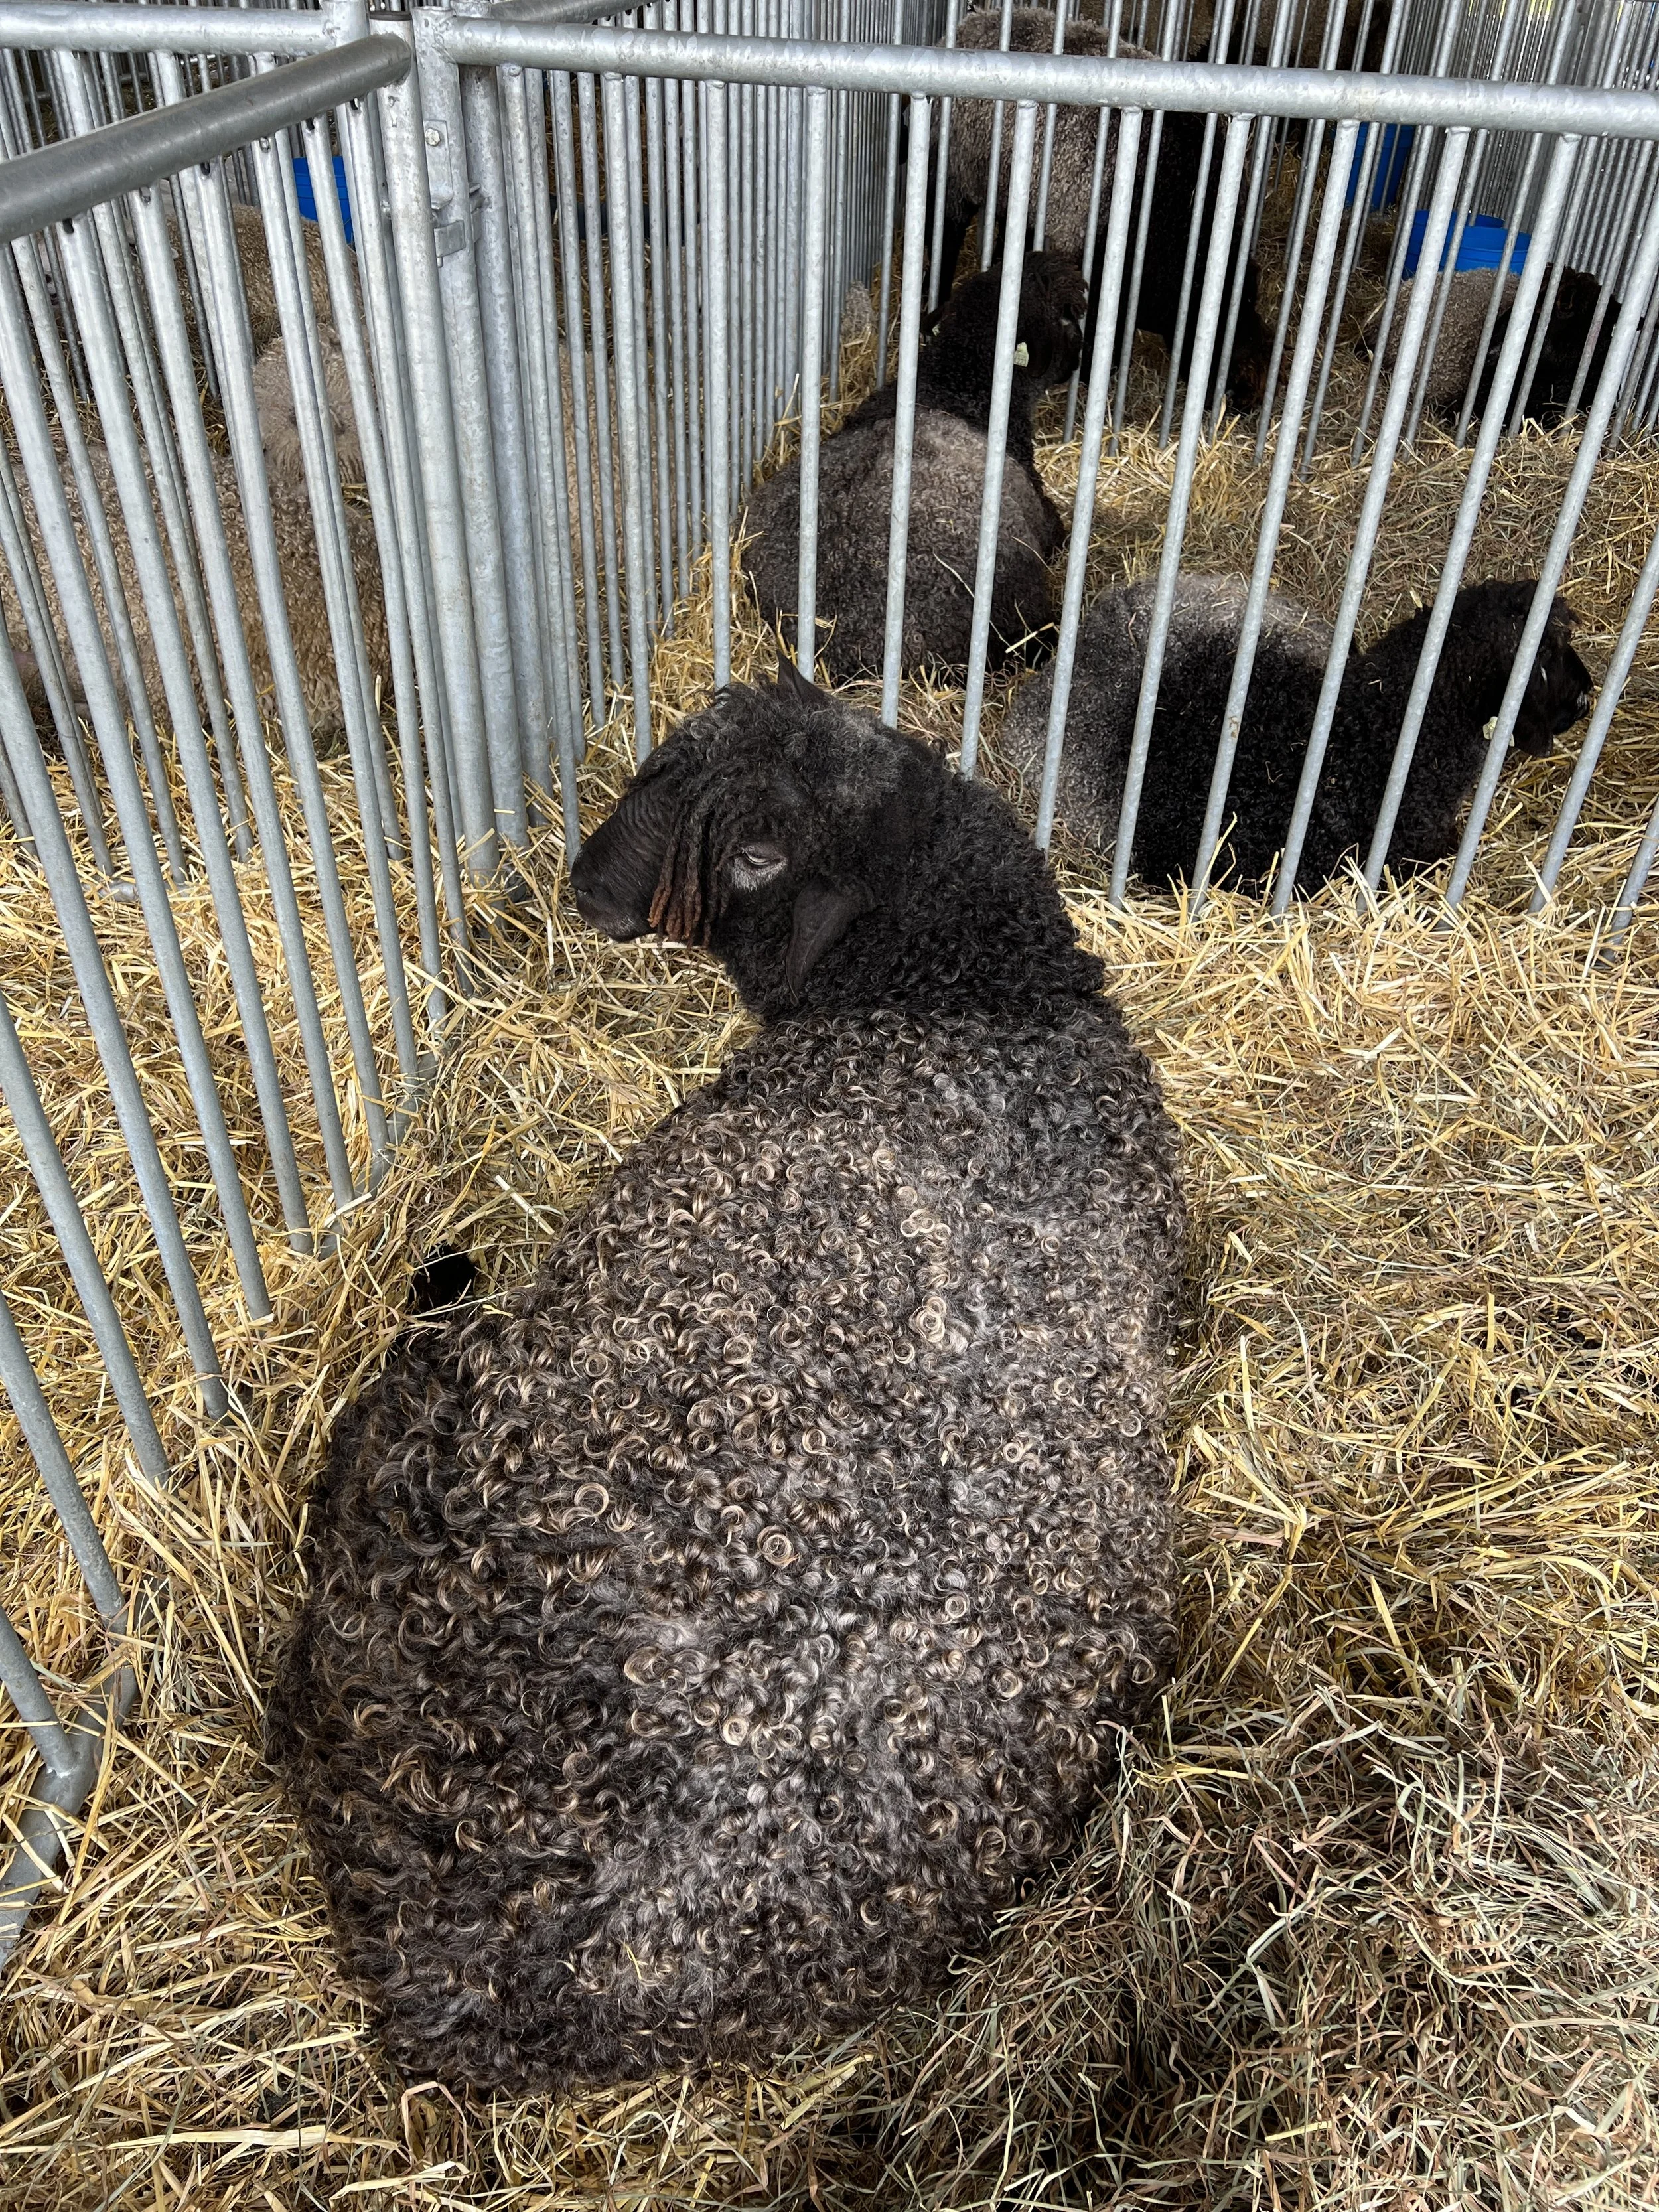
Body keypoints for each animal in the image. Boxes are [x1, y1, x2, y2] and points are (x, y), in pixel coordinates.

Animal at [932, 8, 1272, 411]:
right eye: (1223, 342)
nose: (1243, 402)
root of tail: (974, 21)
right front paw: (1089, 372)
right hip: (955, 171)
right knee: (948, 231)